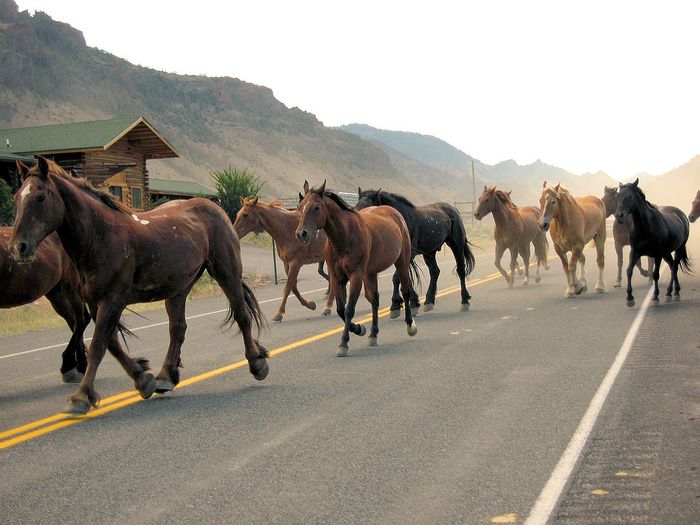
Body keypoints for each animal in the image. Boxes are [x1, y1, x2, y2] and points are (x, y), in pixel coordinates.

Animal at [0, 227, 89, 382]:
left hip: (70, 285)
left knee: (81, 320)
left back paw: (70, 365)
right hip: (56, 292)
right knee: (74, 321)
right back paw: (80, 366)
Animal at [10, 158, 268, 416]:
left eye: (41, 197)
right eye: (17, 197)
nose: (18, 247)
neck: (101, 235)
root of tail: (216, 210)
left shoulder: (112, 301)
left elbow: (98, 346)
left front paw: (81, 396)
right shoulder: (96, 303)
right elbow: (112, 344)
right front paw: (143, 379)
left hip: (227, 274)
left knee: (242, 316)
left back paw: (256, 363)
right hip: (178, 289)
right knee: (178, 329)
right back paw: (166, 376)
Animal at [294, 181, 416, 356]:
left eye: (316, 207)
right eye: (300, 206)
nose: (301, 234)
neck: (345, 237)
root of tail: (395, 213)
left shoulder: (356, 275)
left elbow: (349, 310)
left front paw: (344, 343)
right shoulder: (337, 277)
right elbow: (340, 309)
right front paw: (359, 329)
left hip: (401, 262)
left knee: (405, 291)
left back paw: (410, 325)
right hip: (371, 273)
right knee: (375, 300)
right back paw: (373, 334)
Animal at [616, 179, 688, 308]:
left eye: (629, 196)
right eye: (618, 196)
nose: (619, 216)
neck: (645, 226)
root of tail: (681, 215)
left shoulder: (657, 254)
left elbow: (655, 274)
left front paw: (655, 297)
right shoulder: (635, 252)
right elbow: (629, 270)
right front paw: (630, 298)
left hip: (679, 248)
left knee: (674, 267)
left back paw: (673, 293)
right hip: (666, 253)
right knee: (672, 267)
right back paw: (671, 293)